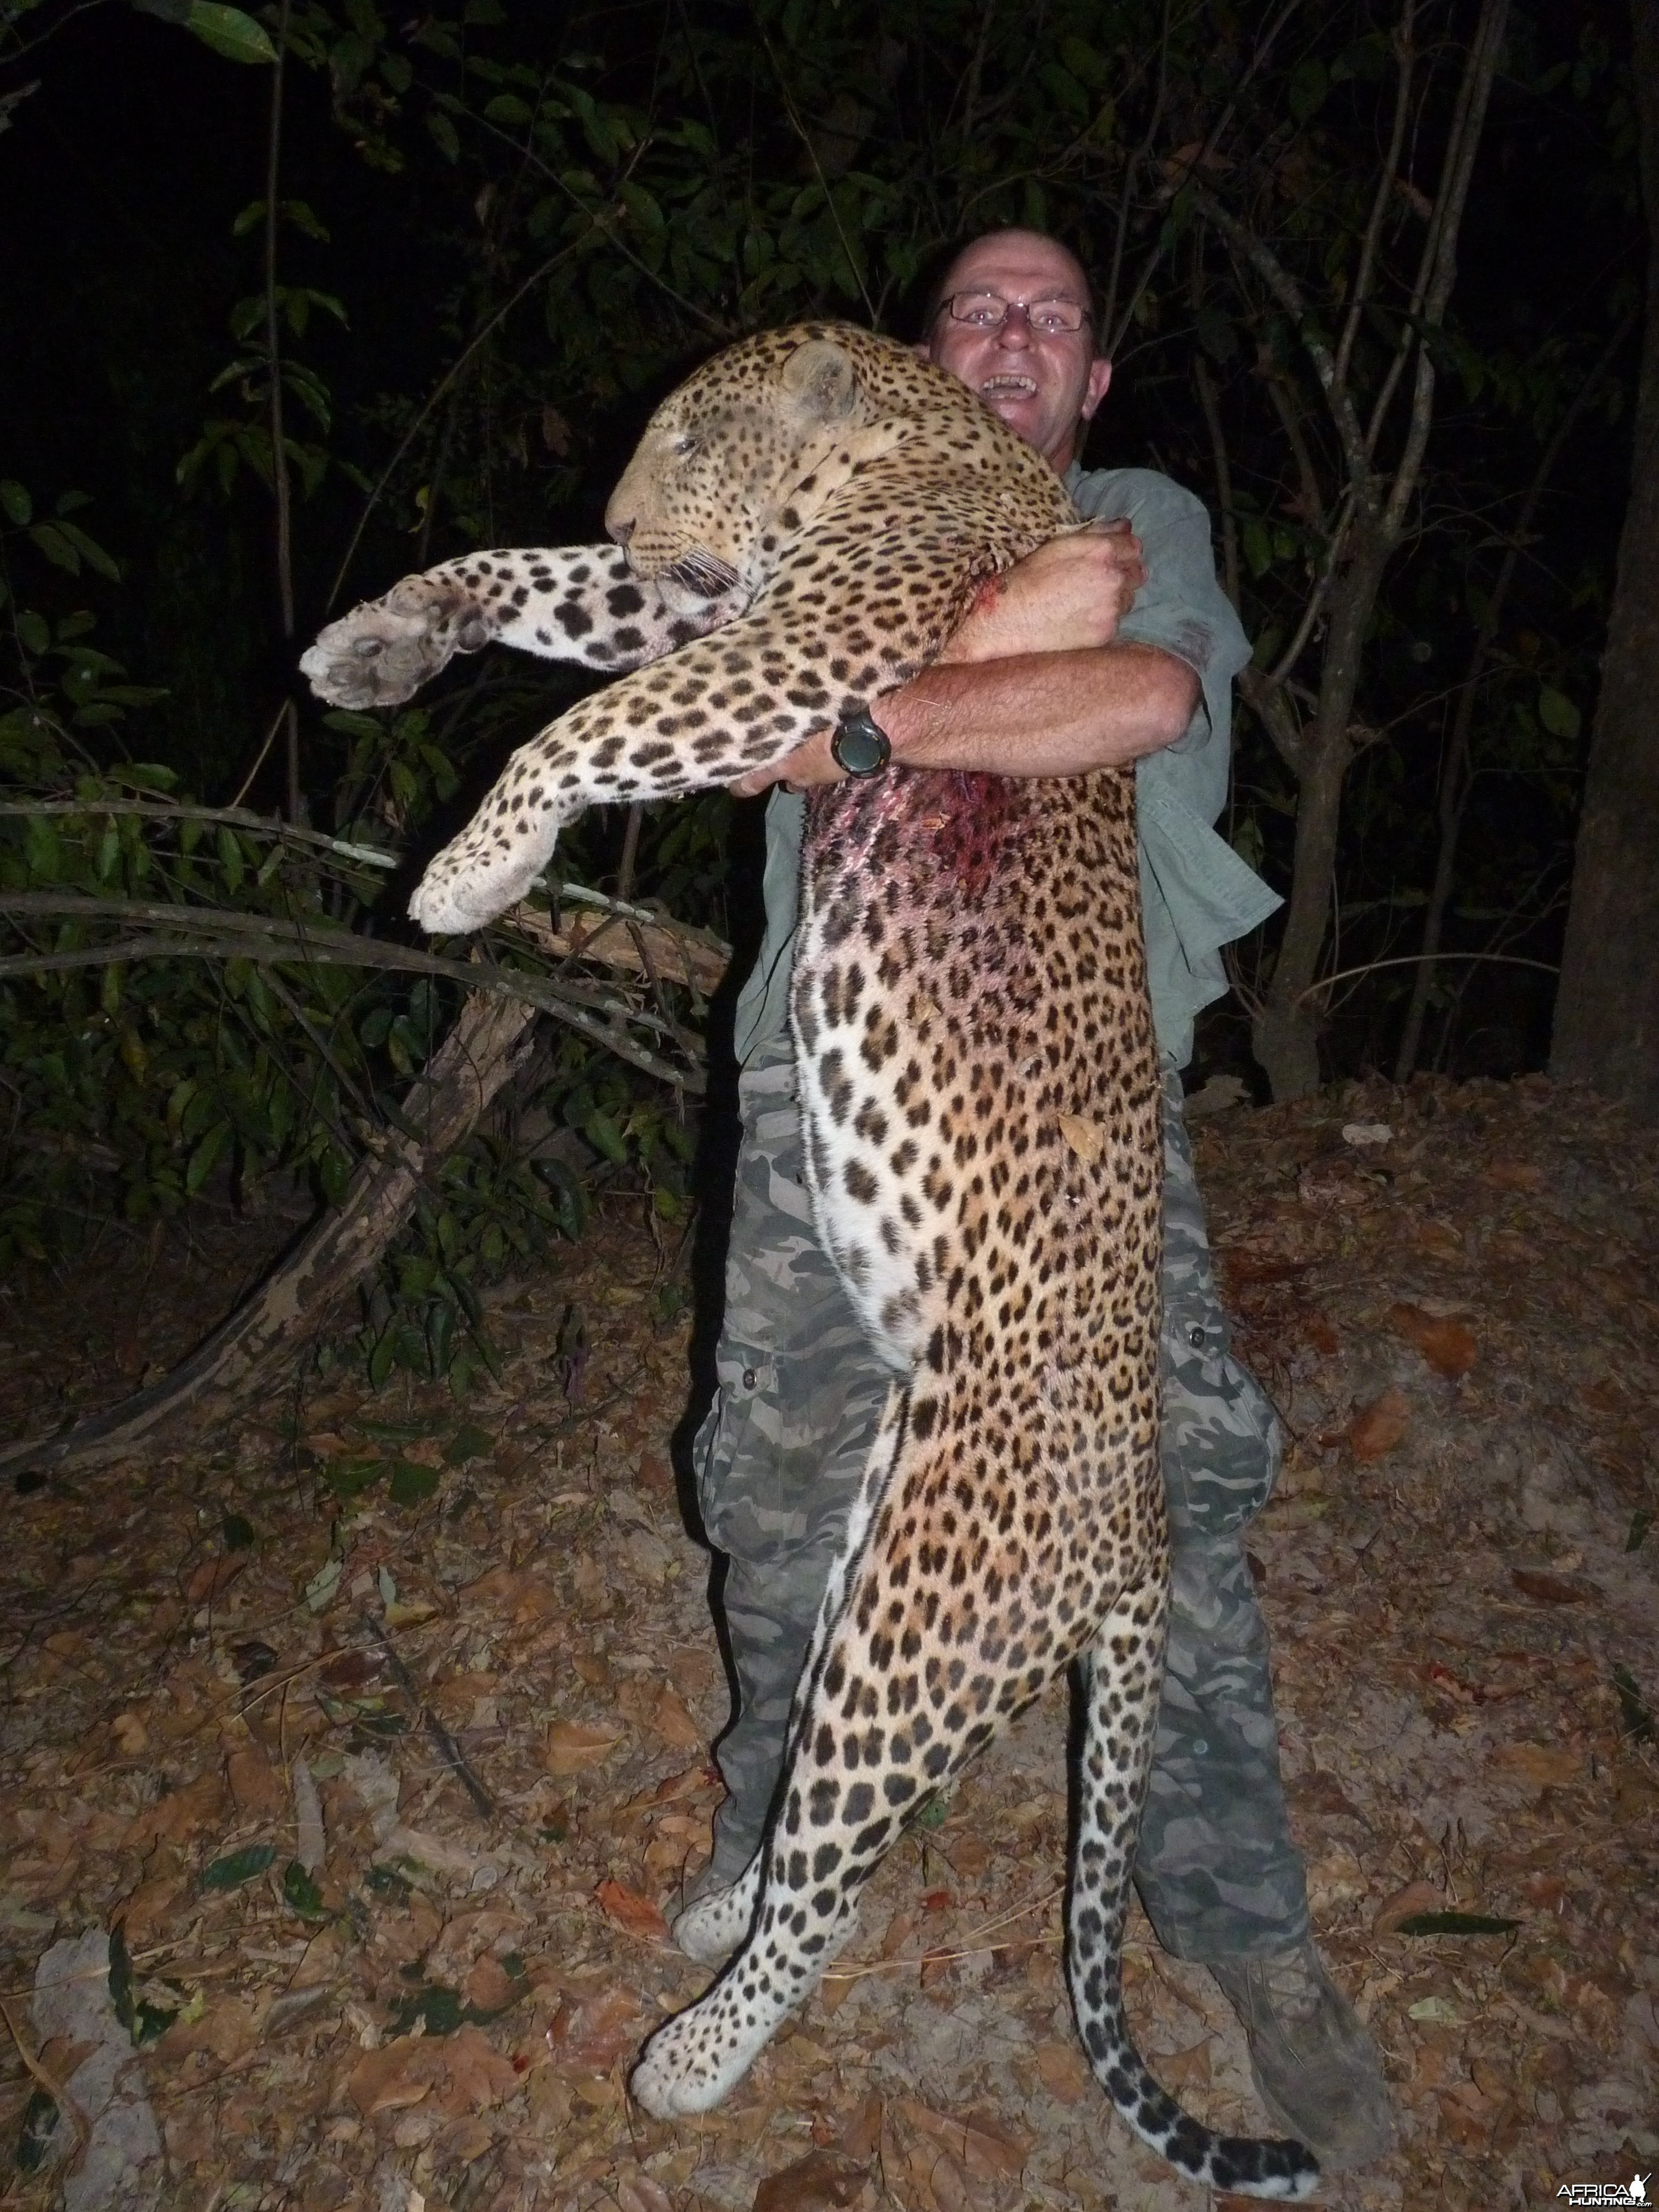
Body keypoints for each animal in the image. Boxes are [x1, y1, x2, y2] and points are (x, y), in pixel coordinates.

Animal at [303, 321, 1327, 2203]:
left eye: (688, 437)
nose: (636, 509)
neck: (910, 440)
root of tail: (1137, 1537)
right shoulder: (706, 603)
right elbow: (543, 585)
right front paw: (382, 638)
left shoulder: (795, 647)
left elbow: (586, 718)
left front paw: (475, 869)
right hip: (870, 1562)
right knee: (820, 1821)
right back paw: (722, 1910)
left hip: (916, 1628)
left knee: (842, 1859)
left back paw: (697, 2054)